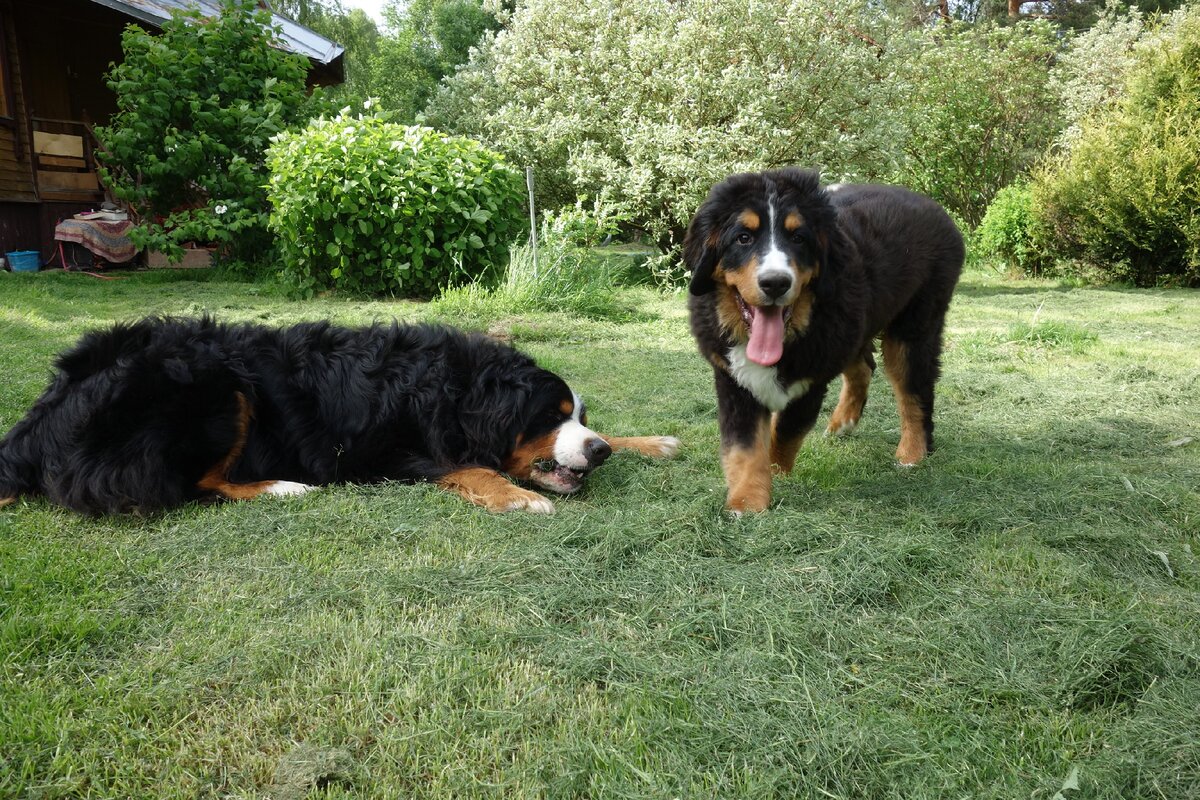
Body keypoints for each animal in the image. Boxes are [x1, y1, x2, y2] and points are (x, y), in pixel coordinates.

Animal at [0, 316, 676, 515]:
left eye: (578, 415)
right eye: (550, 416)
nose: (597, 453)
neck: (456, 387)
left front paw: (650, 441)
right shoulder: (391, 450)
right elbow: (469, 466)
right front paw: (517, 497)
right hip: (214, 385)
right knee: (194, 483)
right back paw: (282, 486)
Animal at [686, 169, 964, 513]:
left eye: (798, 238)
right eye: (743, 238)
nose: (775, 283)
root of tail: (934, 206)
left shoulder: (811, 379)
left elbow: (787, 430)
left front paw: (775, 474)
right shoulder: (734, 377)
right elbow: (744, 444)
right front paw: (747, 499)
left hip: (912, 329)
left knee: (914, 391)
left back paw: (912, 452)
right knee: (863, 367)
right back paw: (842, 423)